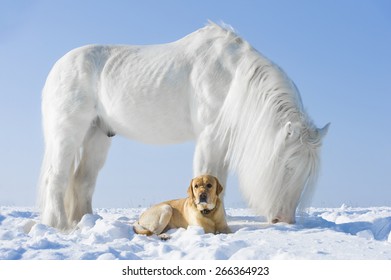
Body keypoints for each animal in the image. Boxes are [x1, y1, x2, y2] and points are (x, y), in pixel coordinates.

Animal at [39, 22, 328, 230]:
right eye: (287, 166)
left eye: (306, 174)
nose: (285, 219)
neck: (232, 78)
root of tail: (56, 68)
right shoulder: (209, 136)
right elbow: (207, 174)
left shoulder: (222, 142)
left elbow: (218, 181)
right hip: (68, 133)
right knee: (57, 177)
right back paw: (60, 225)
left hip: (97, 135)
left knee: (82, 180)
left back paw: (85, 222)